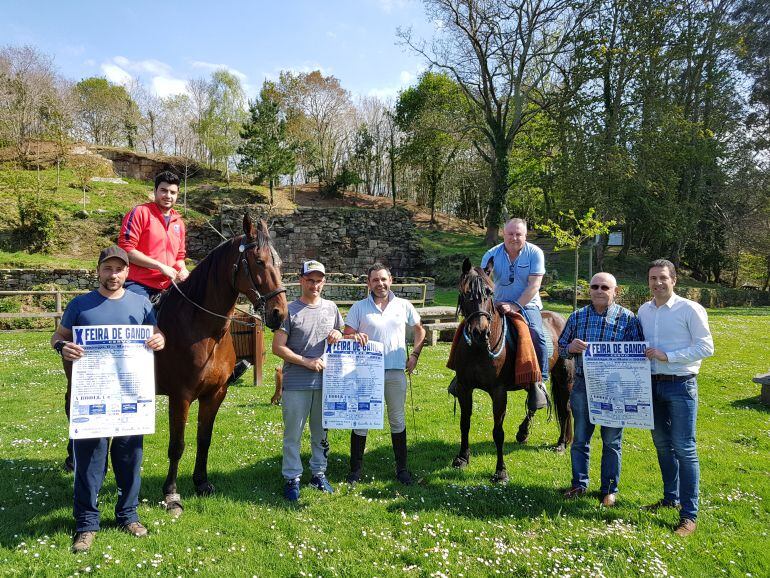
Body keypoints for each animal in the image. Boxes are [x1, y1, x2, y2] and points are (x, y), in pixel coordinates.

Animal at [154, 214, 286, 510]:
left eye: (279, 262)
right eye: (259, 261)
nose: (279, 313)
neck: (201, 329)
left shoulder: (215, 394)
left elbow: (204, 439)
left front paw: (201, 483)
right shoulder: (180, 397)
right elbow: (177, 445)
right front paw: (171, 493)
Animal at [450, 258, 568, 482]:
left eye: (490, 292)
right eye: (465, 292)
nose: (480, 332)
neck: (479, 349)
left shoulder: (499, 392)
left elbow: (498, 432)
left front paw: (500, 471)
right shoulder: (464, 388)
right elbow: (464, 423)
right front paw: (461, 458)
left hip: (565, 379)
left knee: (565, 409)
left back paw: (561, 443)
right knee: (535, 402)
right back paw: (524, 433)